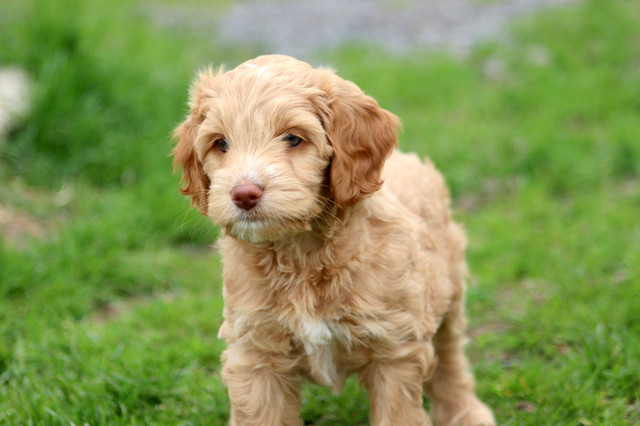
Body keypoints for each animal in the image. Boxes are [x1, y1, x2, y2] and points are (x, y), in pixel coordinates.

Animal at [171, 55, 496, 424]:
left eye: (293, 138)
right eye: (221, 144)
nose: (244, 193)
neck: (301, 253)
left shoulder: (395, 347)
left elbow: (397, 412)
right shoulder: (255, 353)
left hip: (449, 292)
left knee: (450, 357)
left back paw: (465, 412)